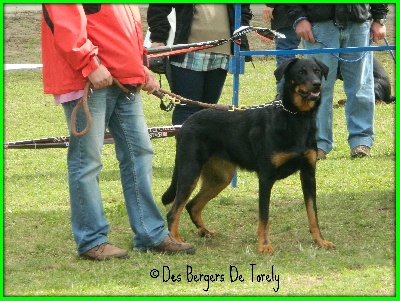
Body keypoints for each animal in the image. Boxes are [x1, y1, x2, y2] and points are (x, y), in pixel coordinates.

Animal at [162, 58, 334, 253]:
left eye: (317, 71)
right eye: (300, 72)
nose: (317, 84)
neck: (296, 117)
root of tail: (185, 124)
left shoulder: (308, 174)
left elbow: (313, 214)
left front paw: (320, 241)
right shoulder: (266, 177)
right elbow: (264, 217)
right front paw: (264, 245)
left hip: (220, 177)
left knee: (192, 205)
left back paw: (205, 231)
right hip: (190, 171)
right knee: (173, 211)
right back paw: (176, 241)